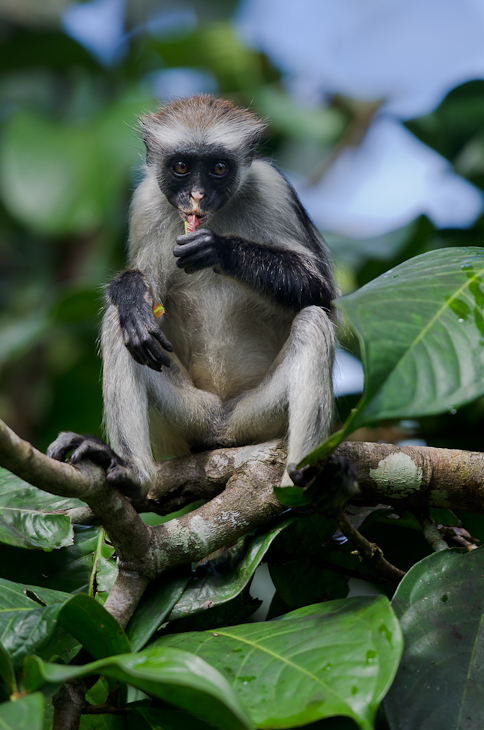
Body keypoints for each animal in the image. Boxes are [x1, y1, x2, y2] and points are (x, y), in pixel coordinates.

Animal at [47, 95, 338, 494]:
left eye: (218, 168)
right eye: (182, 166)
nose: (198, 195)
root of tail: (221, 426)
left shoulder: (273, 190)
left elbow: (322, 294)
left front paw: (219, 250)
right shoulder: (147, 200)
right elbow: (142, 299)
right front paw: (130, 293)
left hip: (257, 415)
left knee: (312, 321)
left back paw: (301, 478)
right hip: (188, 415)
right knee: (120, 326)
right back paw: (132, 470)